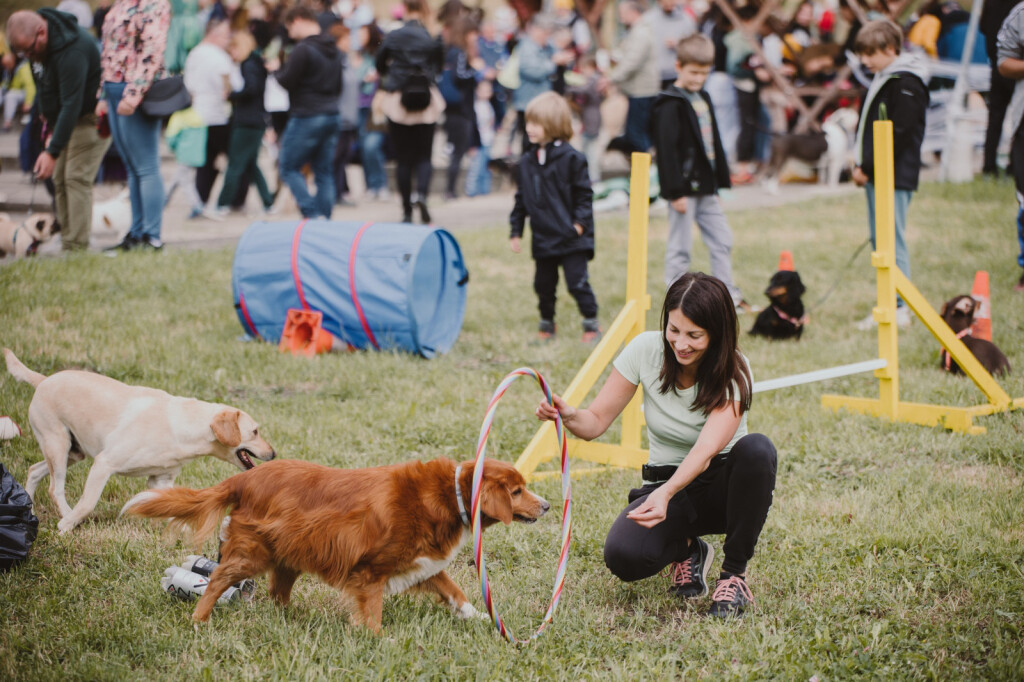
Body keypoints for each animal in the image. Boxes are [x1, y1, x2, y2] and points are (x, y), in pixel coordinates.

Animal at [4, 350, 276, 532]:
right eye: (255, 431)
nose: (274, 455)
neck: (182, 426)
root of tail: (43, 380)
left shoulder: (161, 480)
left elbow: (171, 505)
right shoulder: (104, 464)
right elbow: (89, 503)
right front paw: (67, 525)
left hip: (72, 452)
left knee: (34, 470)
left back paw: (28, 509)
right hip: (58, 446)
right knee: (54, 488)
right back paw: (66, 516)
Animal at [126, 454, 552, 630]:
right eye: (517, 491)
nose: (548, 505)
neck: (451, 494)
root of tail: (245, 478)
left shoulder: (421, 563)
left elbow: (454, 590)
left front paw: (477, 616)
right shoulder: (373, 570)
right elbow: (374, 610)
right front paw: (378, 638)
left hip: (289, 554)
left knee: (278, 594)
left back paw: (289, 618)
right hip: (254, 553)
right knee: (216, 580)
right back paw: (199, 620)